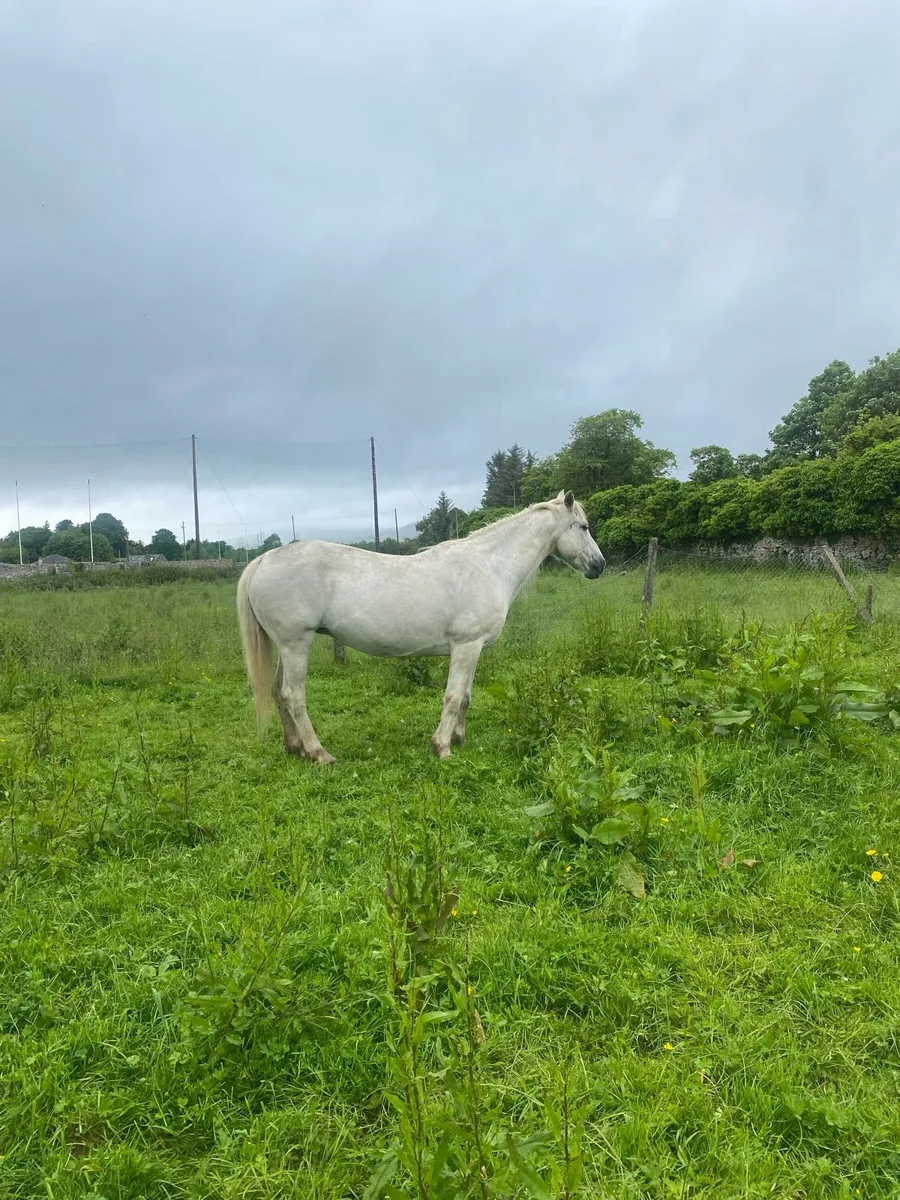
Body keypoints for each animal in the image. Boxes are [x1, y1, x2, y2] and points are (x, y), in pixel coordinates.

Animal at [236, 490, 605, 762]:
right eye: (584, 527)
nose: (599, 566)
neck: (489, 565)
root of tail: (264, 559)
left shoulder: (473, 649)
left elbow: (466, 695)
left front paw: (459, 738)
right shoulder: (466, 646)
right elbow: (453, 696)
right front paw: (442, 747)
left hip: (287, 646)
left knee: (278, 692)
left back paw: (294, 747)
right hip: (297, 645)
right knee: (293, 695)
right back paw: (318, 753)